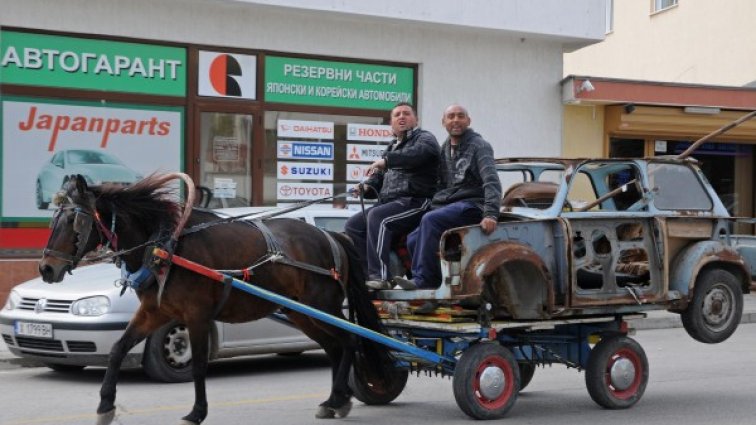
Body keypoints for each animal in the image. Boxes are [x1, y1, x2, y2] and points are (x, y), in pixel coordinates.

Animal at [39, 173, 398, 424]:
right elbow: (116, 350)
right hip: (302, 313)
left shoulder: (196, 316)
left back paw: (340, 398)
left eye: (74, 221)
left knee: (349, 342)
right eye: (53, 218)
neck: (166, 245)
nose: (46, 269)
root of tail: (332, 236)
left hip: (322, 305)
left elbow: (199, 365)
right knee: (335, 347)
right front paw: (105, 405)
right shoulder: (154, 312)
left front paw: (197, 412)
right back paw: (336, 400)